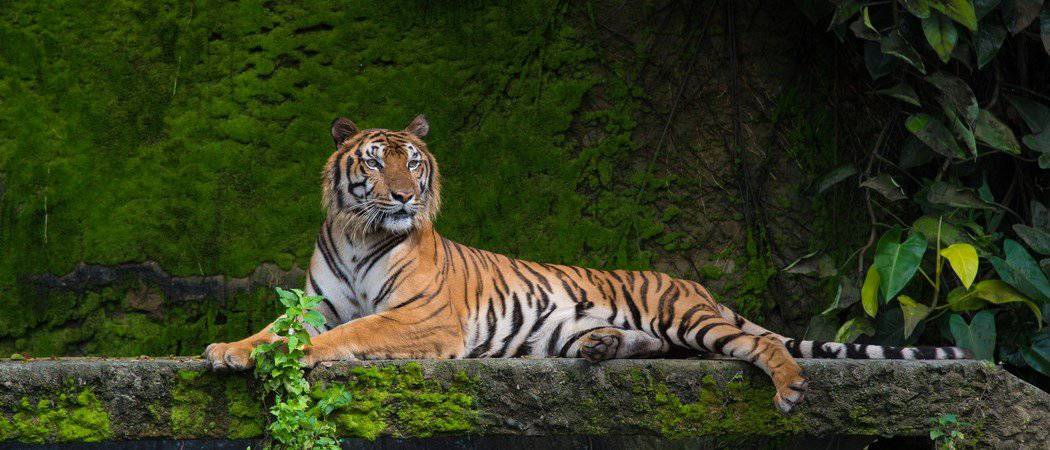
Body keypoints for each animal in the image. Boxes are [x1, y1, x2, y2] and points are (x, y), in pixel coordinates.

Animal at [204, 115, 972, 413]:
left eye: (413, 163)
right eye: (372, 161)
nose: (402, 196)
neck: (362, 233)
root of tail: (697, 284)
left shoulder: (424, 319)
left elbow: (351, 334)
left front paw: (303, 357)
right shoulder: (318, 302)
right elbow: (275, 331)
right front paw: (228, 350)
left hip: (686, 315)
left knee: (753, 343)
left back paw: (788, 388)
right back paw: (601, 345)